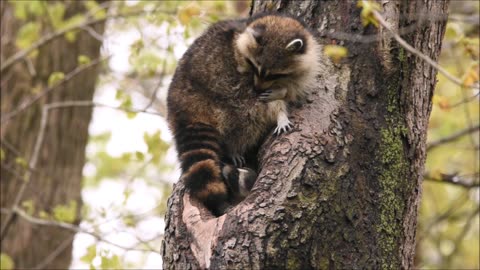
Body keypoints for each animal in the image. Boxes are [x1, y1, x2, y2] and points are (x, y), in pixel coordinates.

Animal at [167, 13, 320, 216]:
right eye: (254, 66)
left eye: (274, 74)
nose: (258, 88)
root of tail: (182, 106)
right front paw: (280, 103)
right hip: (219, 94)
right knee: (246, 113)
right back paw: (237, 143)